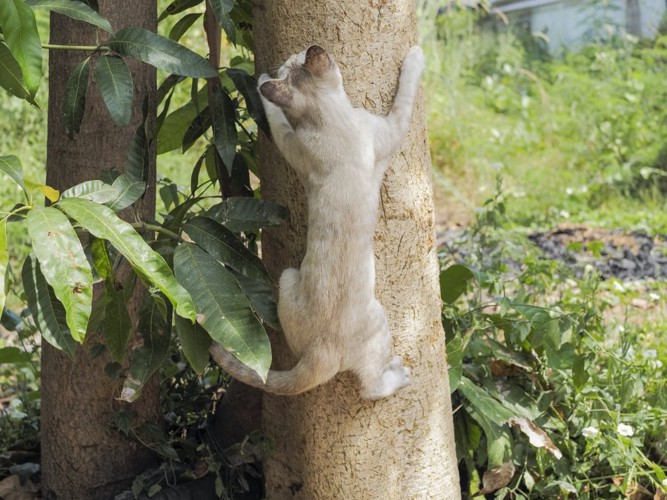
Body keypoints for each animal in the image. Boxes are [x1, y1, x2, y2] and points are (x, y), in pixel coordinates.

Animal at [211, 43, 426, 398]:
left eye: (291, 61)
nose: (279, 63)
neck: (326, 118)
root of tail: (321, 350)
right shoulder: (391, 127)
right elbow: (406, 91)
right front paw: (416, 57)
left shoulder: (294, 147)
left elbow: (279, 122)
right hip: (372, 317)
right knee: (370, 387)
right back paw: (399, 376)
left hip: (286, 279)